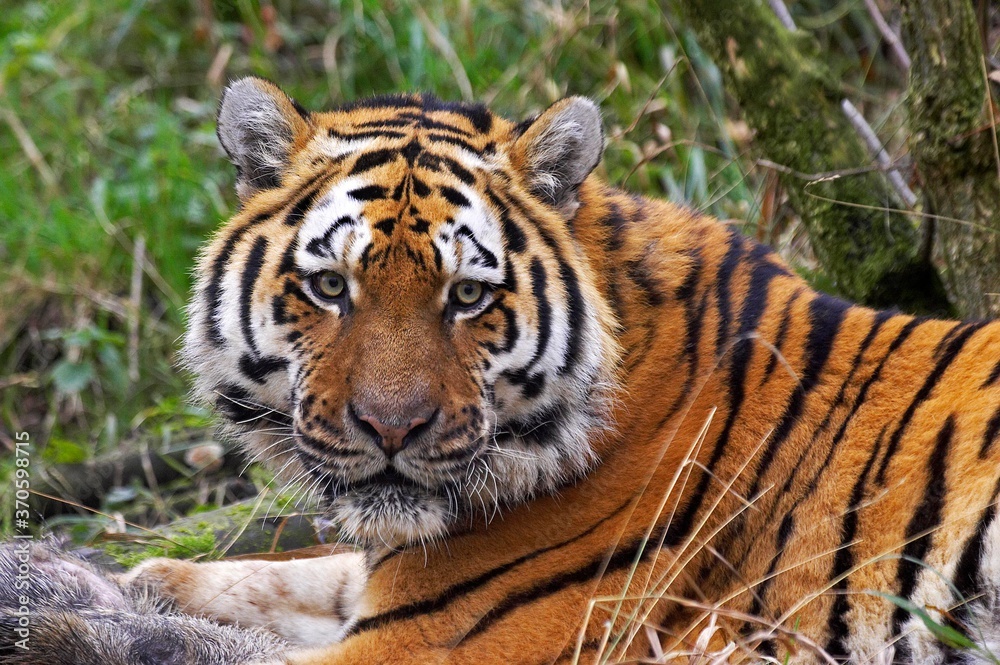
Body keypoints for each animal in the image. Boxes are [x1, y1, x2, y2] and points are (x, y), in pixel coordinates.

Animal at [4, 76, 1000, 665]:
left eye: (468, 296)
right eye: (330, 286)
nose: (391, 428)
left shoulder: (427, 645)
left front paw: (62, 612)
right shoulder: (386, 585)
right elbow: (289, 573)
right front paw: (124, 577)